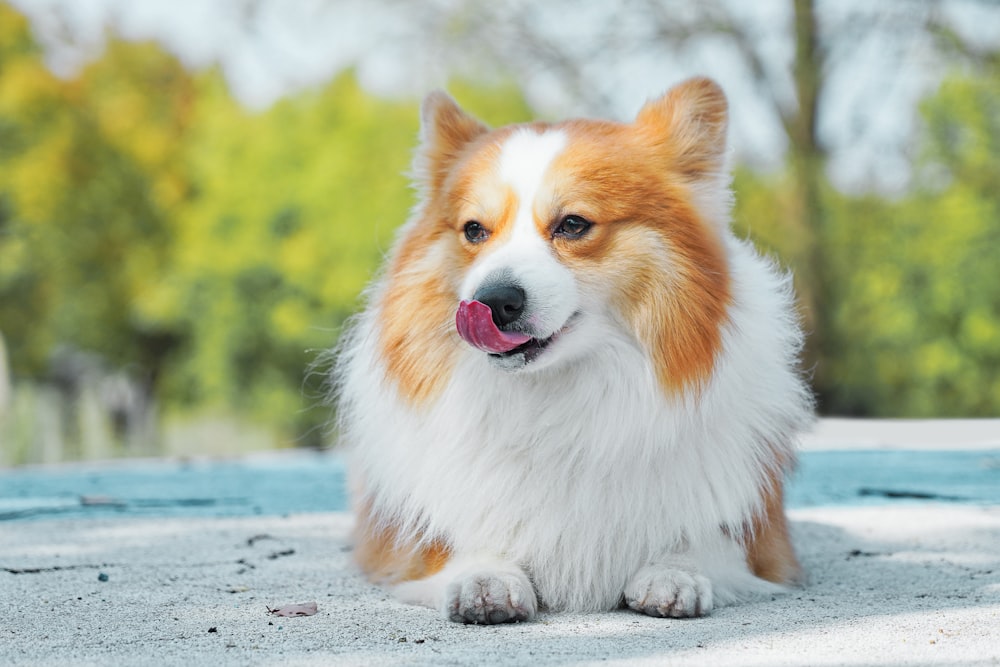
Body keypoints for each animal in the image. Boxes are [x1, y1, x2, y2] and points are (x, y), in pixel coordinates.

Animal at [336, 78, 812, 628]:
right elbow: (458, 541)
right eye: (474, 230)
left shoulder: (762, 541)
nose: (493, 302)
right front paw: (485, 577)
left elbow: (705, 540)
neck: (557, 398)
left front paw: (675, 573)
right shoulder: (404, 541)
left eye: (573, 224)